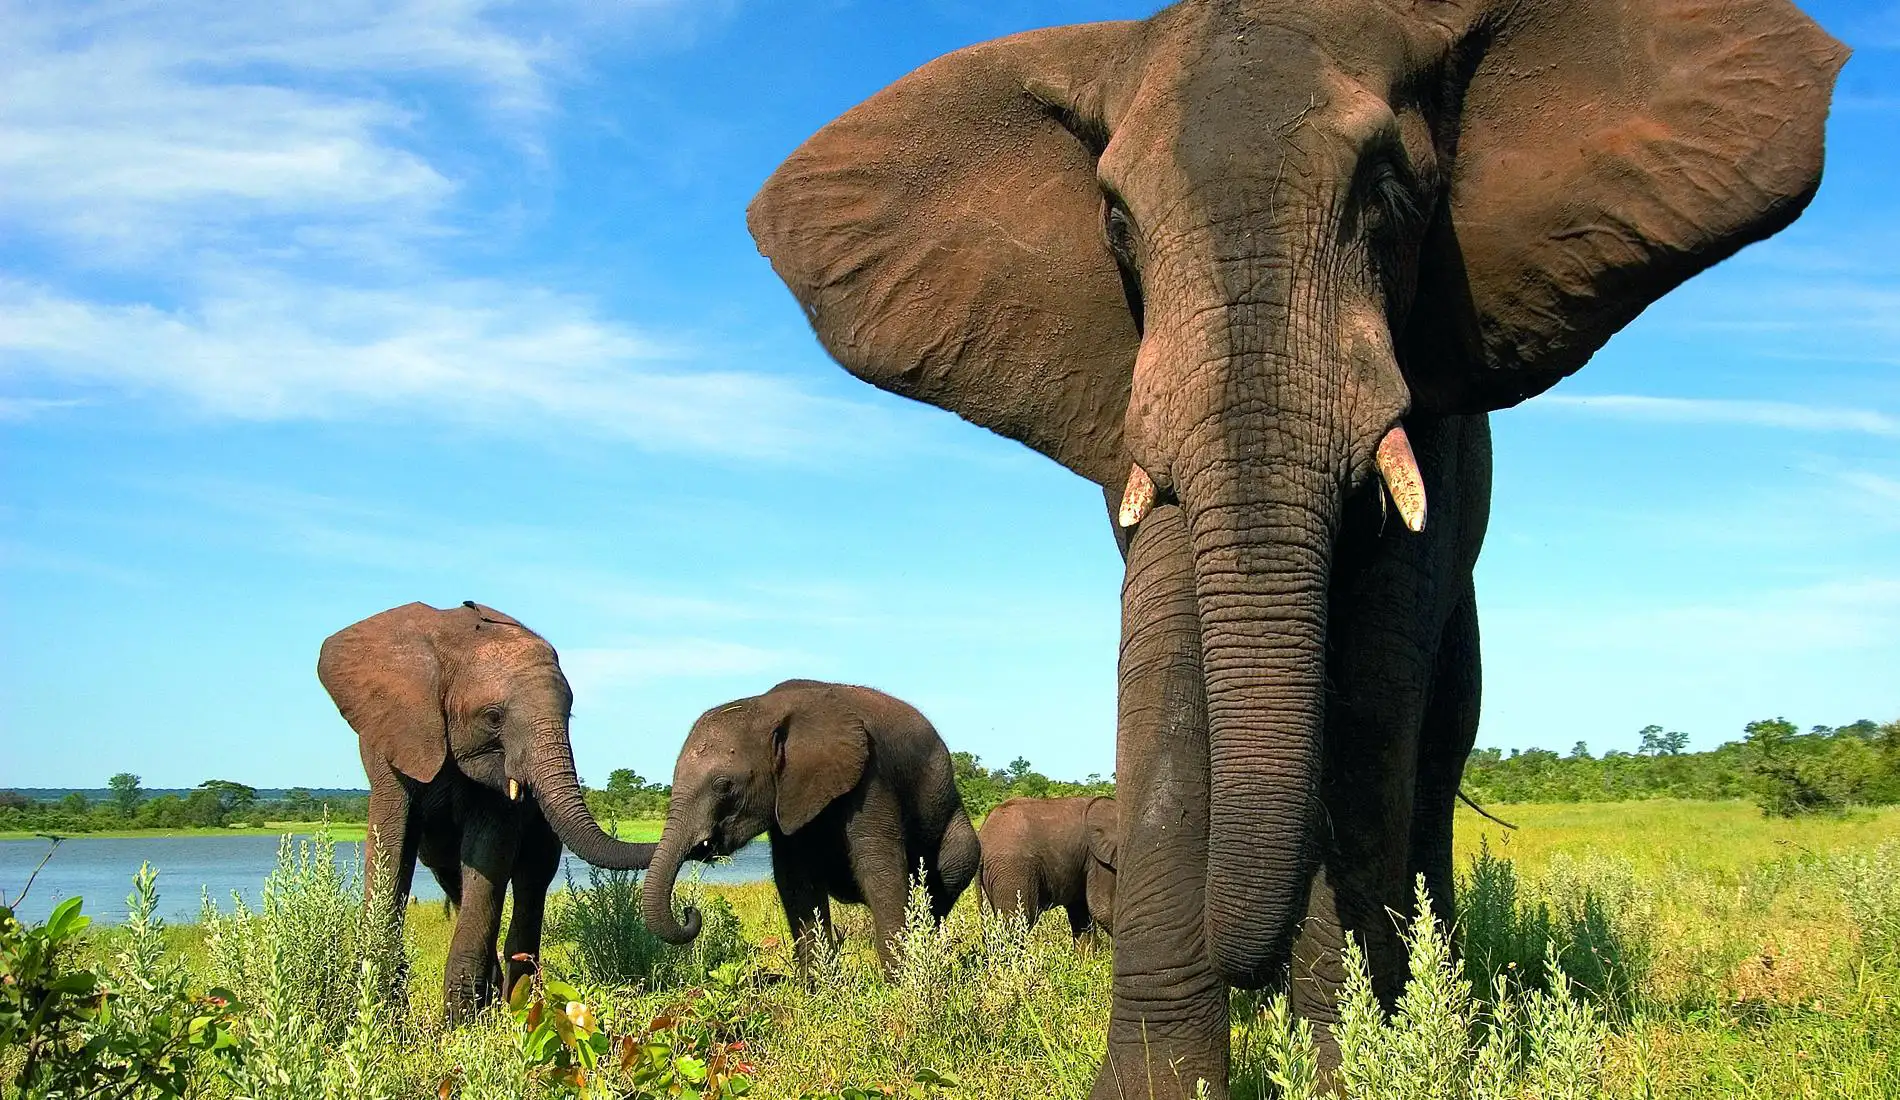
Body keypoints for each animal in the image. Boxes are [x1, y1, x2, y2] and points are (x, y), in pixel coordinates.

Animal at [317, 601, 656, 1021]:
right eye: (494, 716)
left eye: (569, 717)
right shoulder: (391, 737)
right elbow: (390, 848)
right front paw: (382, 1016)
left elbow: (488, 853)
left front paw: (458, 1023)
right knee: (453, 877)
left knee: (531, 880)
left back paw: (517, 1004)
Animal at [640, 679, 980, 972]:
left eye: (724, 785)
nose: (690, 911)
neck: (768, 707)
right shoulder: (791, 794)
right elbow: (796, 879)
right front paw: (818, 990)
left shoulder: (871, 775)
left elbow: (879, 869)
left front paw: (901, 984)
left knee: (949, 875)